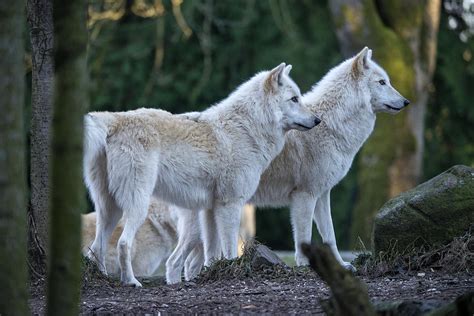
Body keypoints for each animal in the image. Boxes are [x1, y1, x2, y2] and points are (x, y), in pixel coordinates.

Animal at [84, 62, 322, 286]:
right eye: (294, 99)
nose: (318, 120)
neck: (247, 129)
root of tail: (115, 119)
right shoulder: (230, 204)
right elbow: (228, 248)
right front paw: (230, 270)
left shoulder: (209, 209)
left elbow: (211, 252)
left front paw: (211, 272)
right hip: (137, 205)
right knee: (124, 243)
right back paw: (131, 282)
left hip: (110, 210)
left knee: (97, 246)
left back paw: (104, 277)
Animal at [171, 47, 412, 274]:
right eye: (382, 82)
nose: (407, 101)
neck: (331, 125)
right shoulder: (305, 196)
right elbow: (304, 237)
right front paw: (306, 266)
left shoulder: (322, 195)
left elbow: (330, 236)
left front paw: (342, 266)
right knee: (176, 262)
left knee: (190, 263)